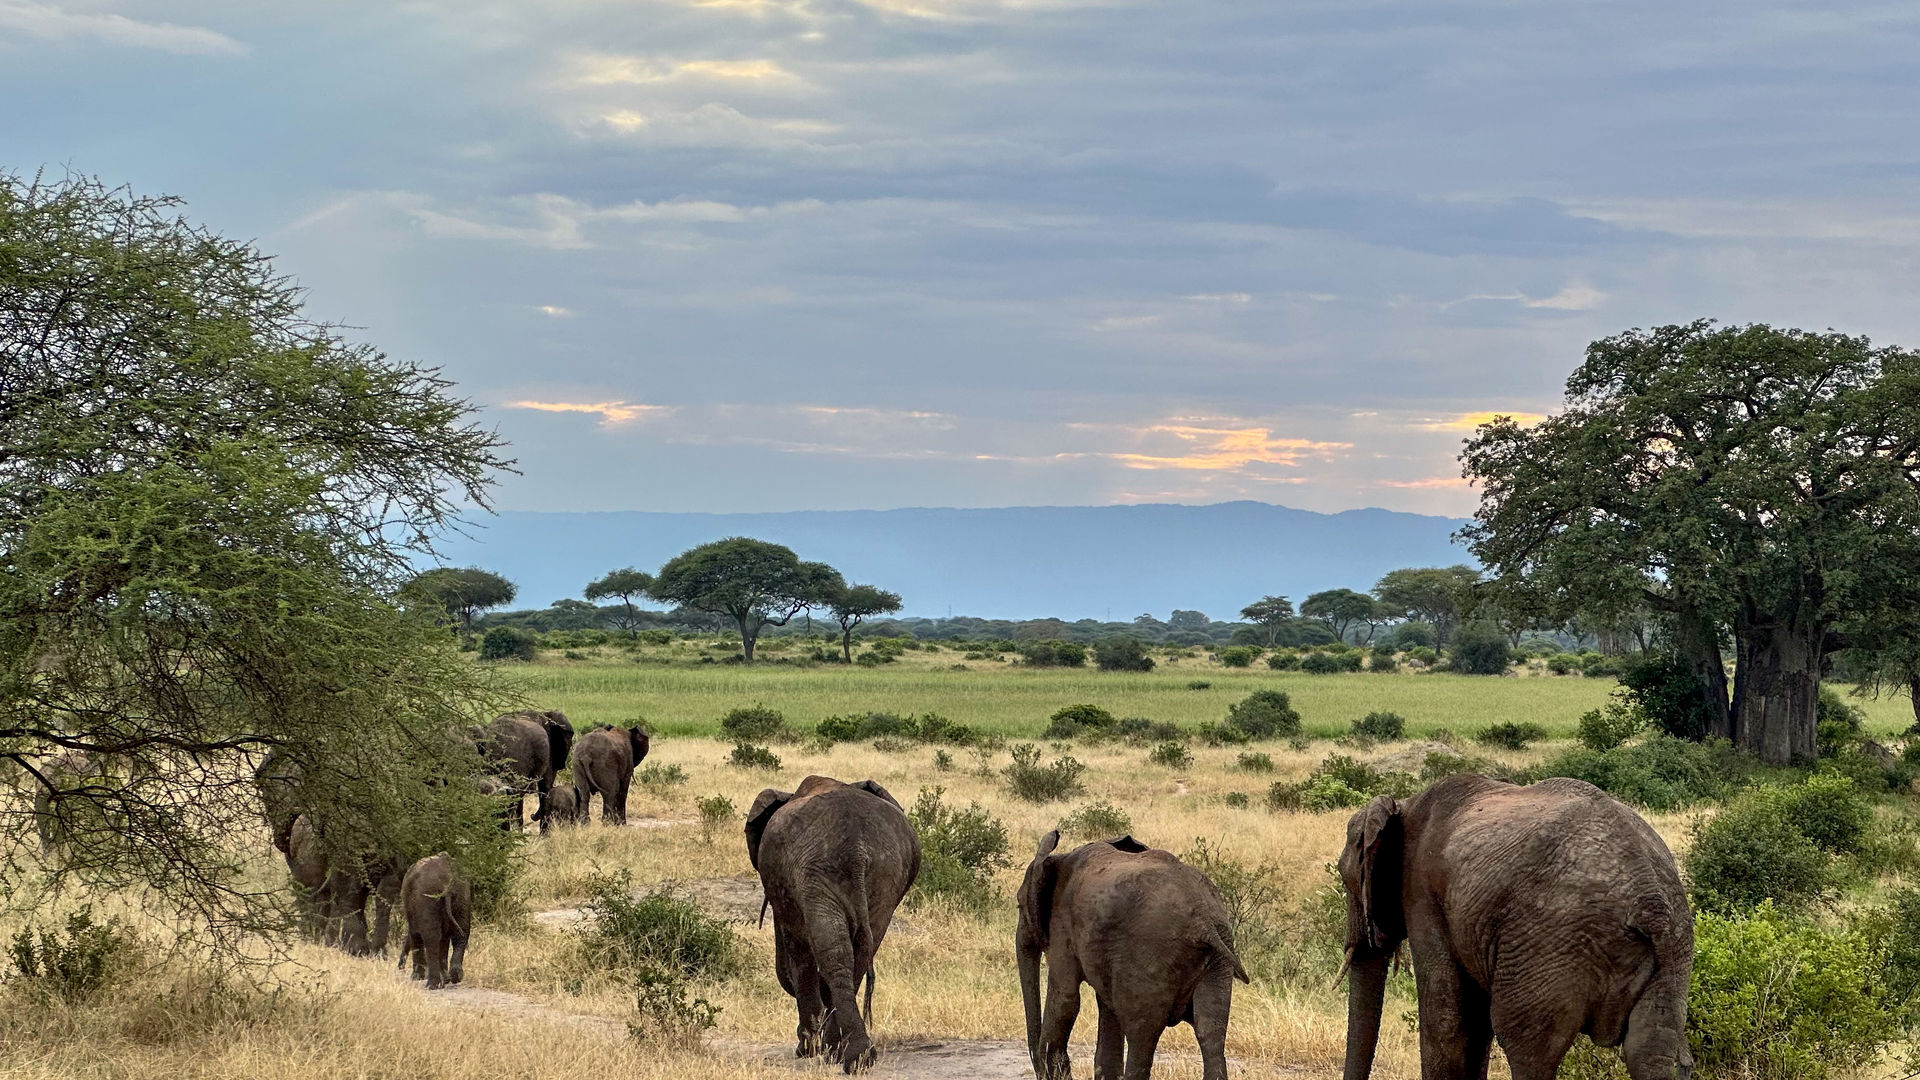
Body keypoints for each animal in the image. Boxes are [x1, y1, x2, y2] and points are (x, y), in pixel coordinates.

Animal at [395, 853, 470, 991]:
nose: (400, 967)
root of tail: (446, 880)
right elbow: (444, 940)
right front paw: (445, 980)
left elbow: (415, 935)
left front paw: (417, 977)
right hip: (462, 895)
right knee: (461, 935)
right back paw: (454, 977)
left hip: (428, 897)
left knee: (432, 939)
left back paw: (432, 985)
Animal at [741, 772, 921, 1068]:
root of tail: (857, 850)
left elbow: (798, 953)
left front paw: (807, 1049)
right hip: (883, 875)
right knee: (857, 951)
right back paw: (854, 1056)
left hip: (817, 872)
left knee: (833, 952)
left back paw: (839, 1052)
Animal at [1013, 826, 1251, 1068]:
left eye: (1019, 905)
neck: (1059, 858)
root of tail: (1204, 917)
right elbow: (1107, 1013)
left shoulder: (1063, 926)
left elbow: (1065, 999)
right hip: (1218, 958)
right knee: (1210, 1033)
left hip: (1152, 956)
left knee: (1141, 1037)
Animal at [1336, 772, 1697, 1076]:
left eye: (1344, 878)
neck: (1405, 805)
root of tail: (1650, 899)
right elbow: (1475, 1023)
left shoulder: (1422, 891)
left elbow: (1446, 1017)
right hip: (1675, 948)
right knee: (1650, 1048)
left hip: (1549, 943)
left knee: (1527, 1046)